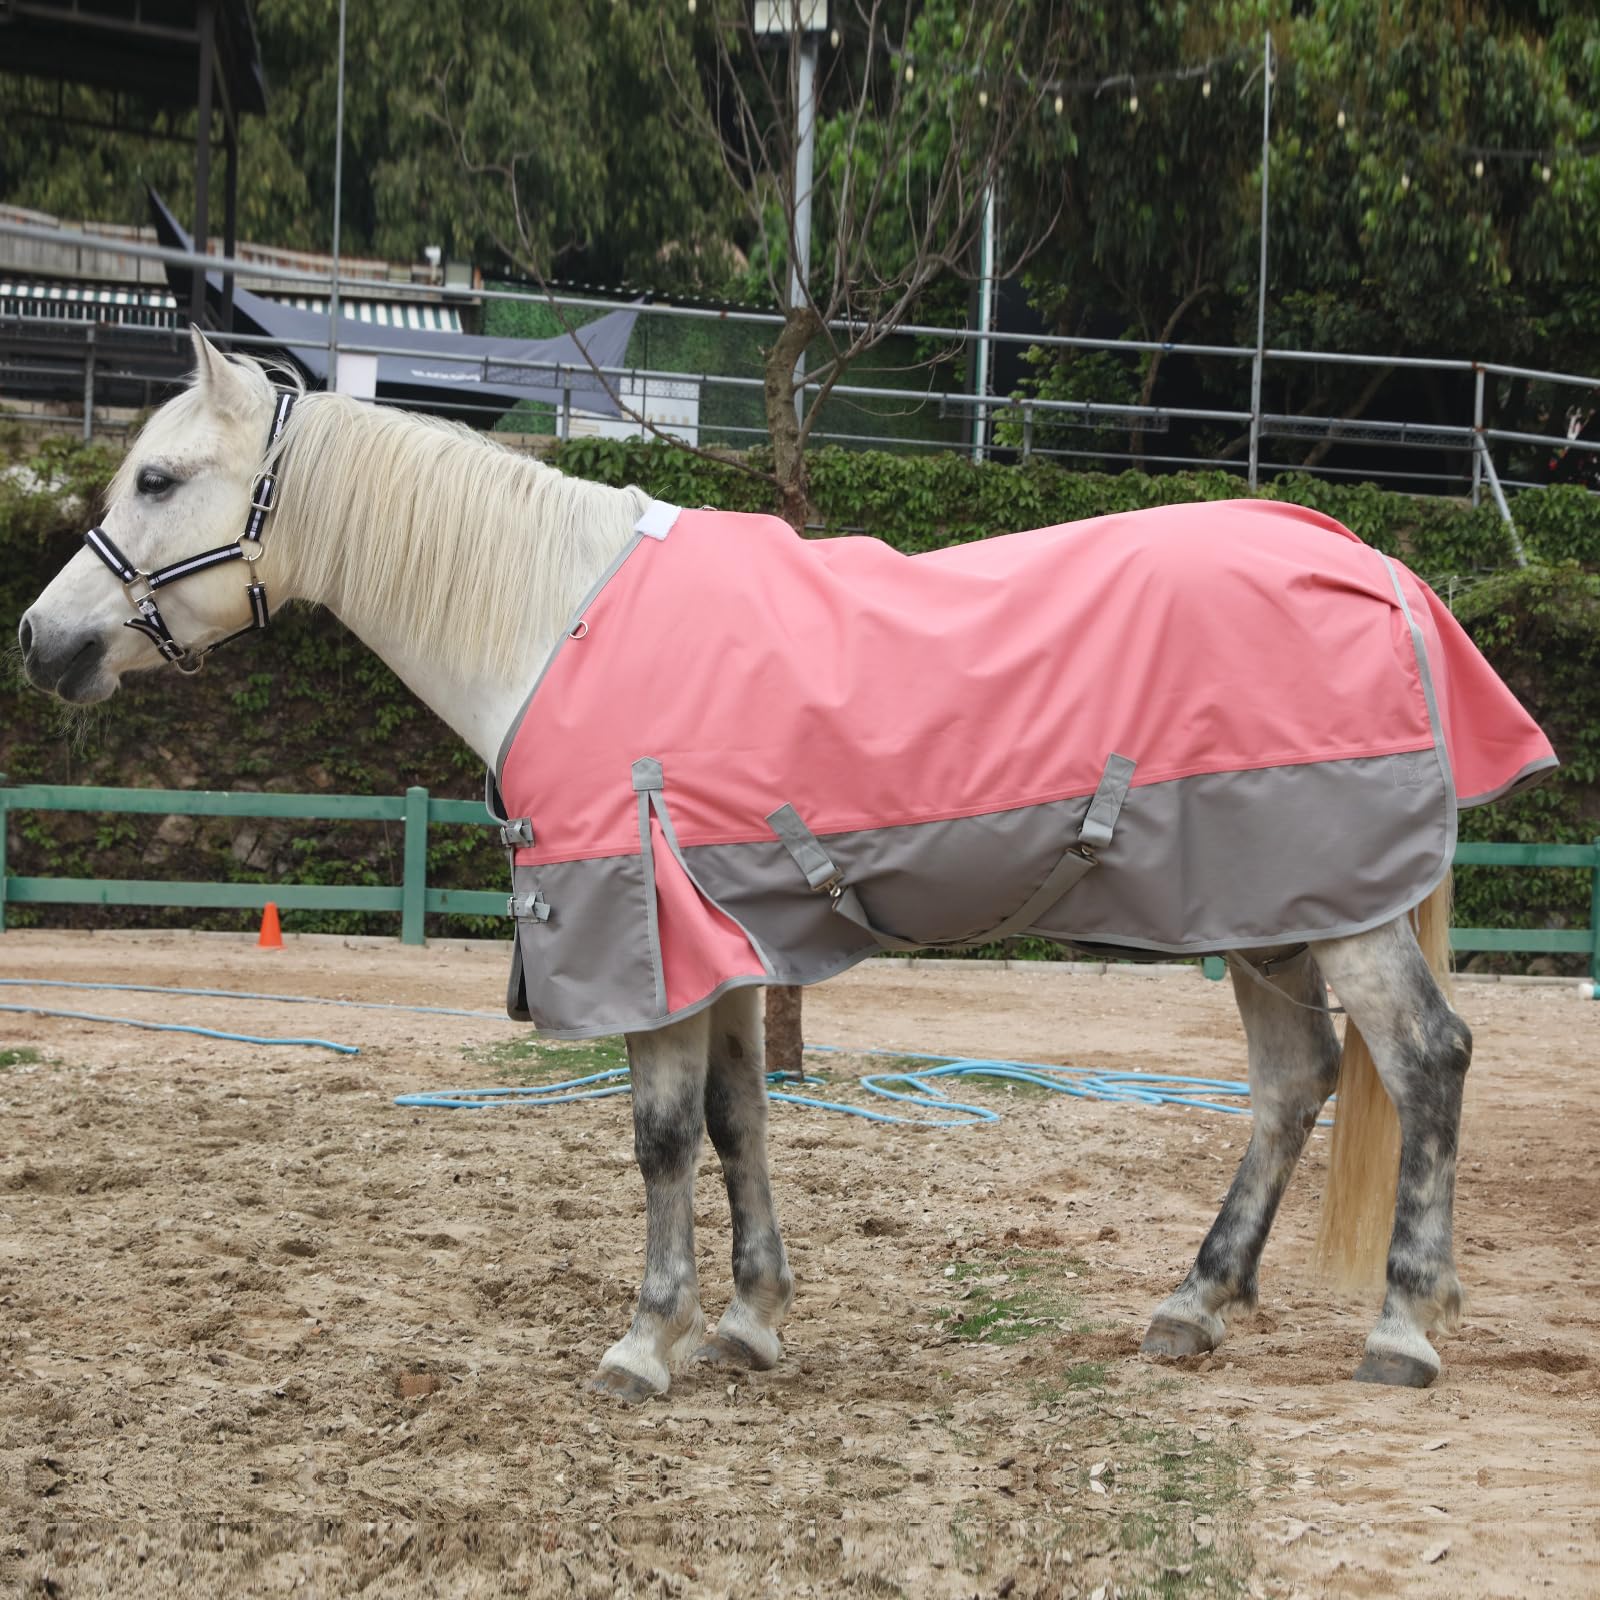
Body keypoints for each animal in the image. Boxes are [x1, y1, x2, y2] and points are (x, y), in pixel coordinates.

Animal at [15, 337, 1484, 1401]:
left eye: (158, 481)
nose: (40, 639)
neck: (554, 617)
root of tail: (1363, 558)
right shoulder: (719, 942)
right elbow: (736, 1123)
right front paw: (748, 1321)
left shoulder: (641, 936)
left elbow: (661, 1138)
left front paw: (643, 1342)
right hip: (1271, 913)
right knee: (1293, 1083)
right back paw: (1192, 1306)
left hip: (1334, 911)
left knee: (1424, 1060)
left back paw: (1402, 1329)